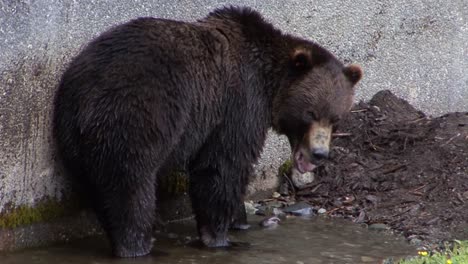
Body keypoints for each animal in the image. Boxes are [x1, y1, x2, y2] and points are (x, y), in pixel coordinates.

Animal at [53, 5, 364, 258]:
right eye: (310, 113)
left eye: (336, 118)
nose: (319, 153)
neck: (269, 84)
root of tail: (88, 93)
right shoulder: (238, 105)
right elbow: (223, 166)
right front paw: (219, 236)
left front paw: (239, 221)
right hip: (138, 116)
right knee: (131, 185)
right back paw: (137, 244)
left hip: (73, 135)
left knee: (100, 188)